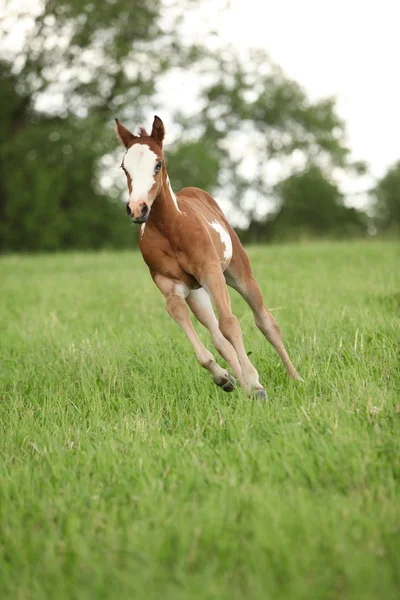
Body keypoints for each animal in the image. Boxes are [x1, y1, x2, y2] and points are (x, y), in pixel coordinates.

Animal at [115, 116, 300, 398]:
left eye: (158, 164)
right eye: (124, 167)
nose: (137, 209)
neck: (170, 228)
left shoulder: (211, 272)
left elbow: (231, 323)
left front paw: (256, 383)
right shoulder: (169, 285)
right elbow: (194, 326)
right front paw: (226, 378)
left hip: (238, 273)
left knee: (265, 321)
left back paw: (294, 378)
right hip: (197, 293)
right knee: (217, 336)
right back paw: (240, 386)